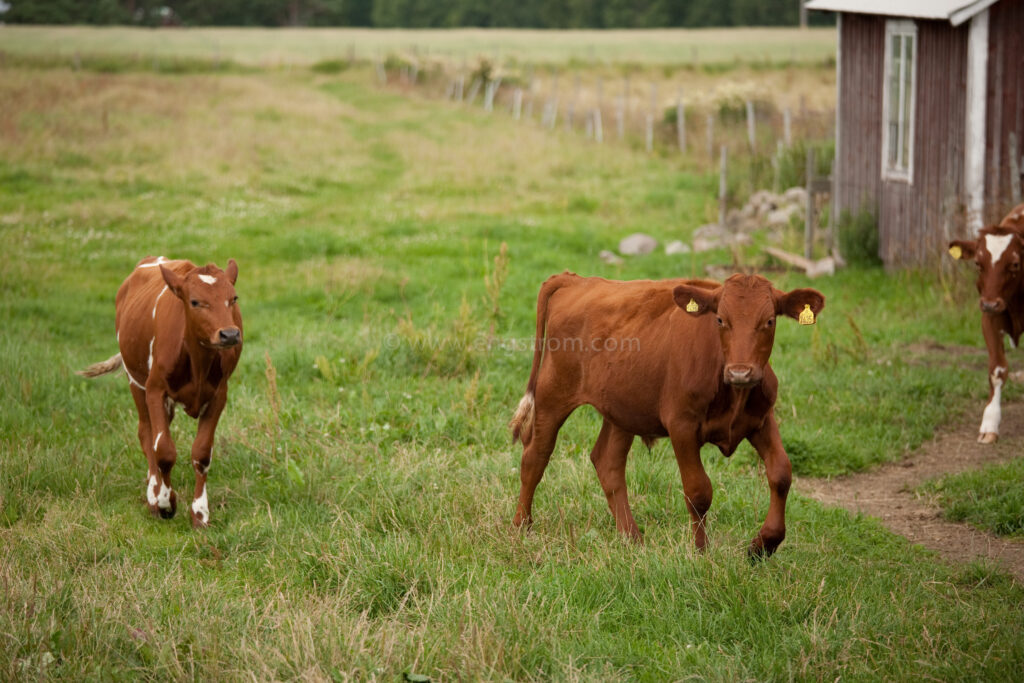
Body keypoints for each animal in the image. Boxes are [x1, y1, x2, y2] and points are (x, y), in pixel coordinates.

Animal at [78, 255, 242, 528]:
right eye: (195, 301)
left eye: (233, 298)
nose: (229, 334)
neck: (197, 361)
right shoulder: (155, 390)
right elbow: (163, 450)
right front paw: (165, 502)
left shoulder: (219, 396)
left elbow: (202, 453)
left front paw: (200, 513)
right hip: (136, 383)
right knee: (147, 433)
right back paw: (154, 491)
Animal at [509, 270, 823, 557]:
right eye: (720, 320)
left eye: (769, 321)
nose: (740, 372)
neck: (733, 391)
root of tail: (577, 279)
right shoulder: (681, 426)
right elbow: (698, 491)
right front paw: (701, 553)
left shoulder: (761, 420)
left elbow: (781, 474)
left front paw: (764, 545)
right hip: (553, 394)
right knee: (535, 457)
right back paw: (521, 527)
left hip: (623, 408)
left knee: (608, 462)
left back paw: (632, 538)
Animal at [946, 202, 1019, 444]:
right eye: (978, 263)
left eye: (1015, 264)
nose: (989, 303)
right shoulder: (990, 319)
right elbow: (997, 369)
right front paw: (990, 424)